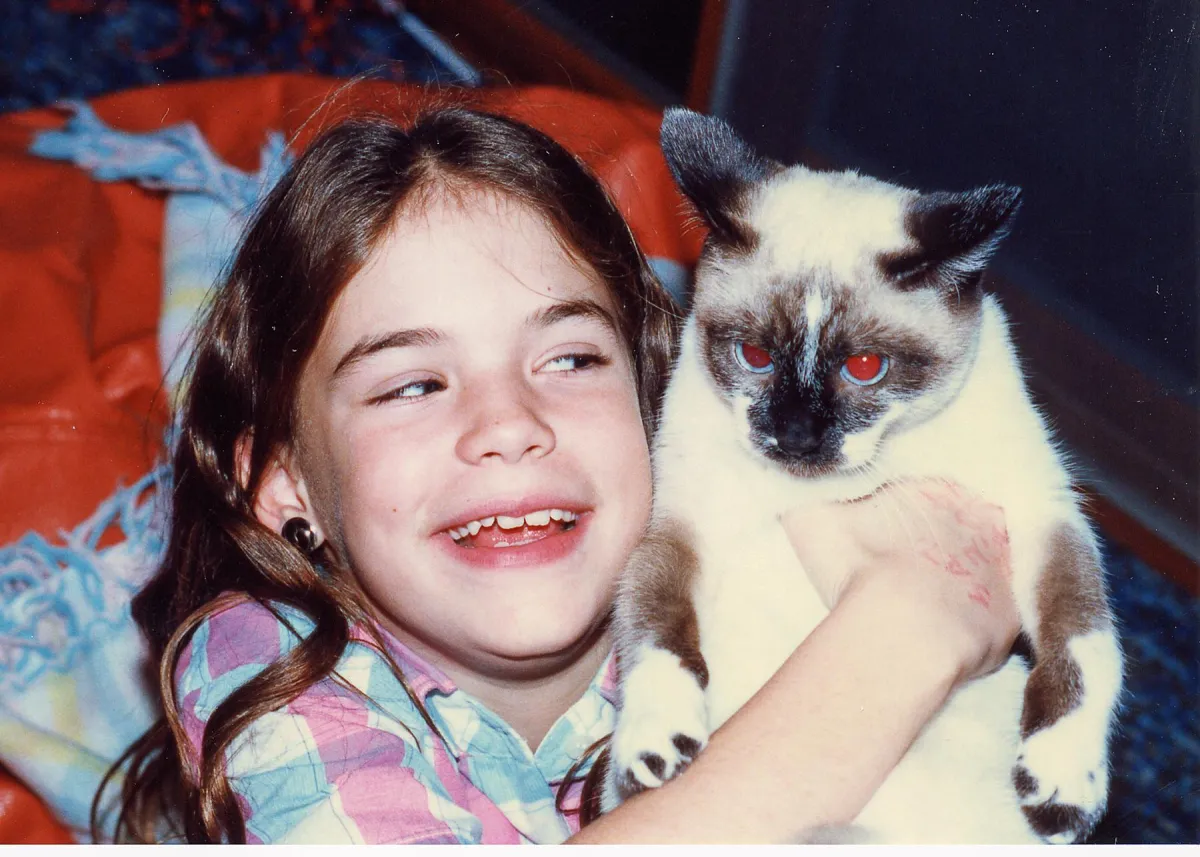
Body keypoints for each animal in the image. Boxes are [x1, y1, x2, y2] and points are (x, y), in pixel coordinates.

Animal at [600, 108, 1123, 840]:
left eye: (866, 367)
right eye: (755, 355)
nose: (795, 435)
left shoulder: (1040, 510)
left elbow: (1085, 640)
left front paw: (1063, 784)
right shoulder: (684, 523)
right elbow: (655, 624)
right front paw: (654, 741)